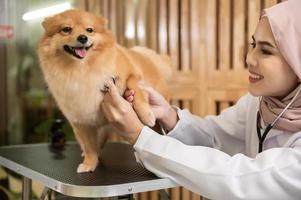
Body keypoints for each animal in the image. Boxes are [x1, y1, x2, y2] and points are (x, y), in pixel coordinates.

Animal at [38, 9, 171, 173]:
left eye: (89, 30)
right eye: (66, 29)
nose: (83, 37)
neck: (81, 71)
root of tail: (148, 57)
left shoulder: (132, 75)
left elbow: (135, 87)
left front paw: (146, 114)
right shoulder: (81, 121)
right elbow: (89, 146)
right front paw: (89, 163)